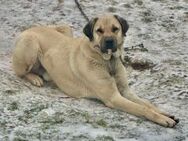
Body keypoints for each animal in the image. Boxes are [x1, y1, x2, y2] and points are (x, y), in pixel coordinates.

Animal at [12, 14, 178, 128]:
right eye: (99, 31)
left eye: (115, 29)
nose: (109, 41)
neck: (108, 62)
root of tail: (28, 29)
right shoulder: (113, 97)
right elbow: (142, 108)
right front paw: (163, 119)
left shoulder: (125, 91)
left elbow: (147, 104)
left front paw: (164, 113)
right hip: (31, 45)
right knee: (19, 72)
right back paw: (35, 78)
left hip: (66, 29)